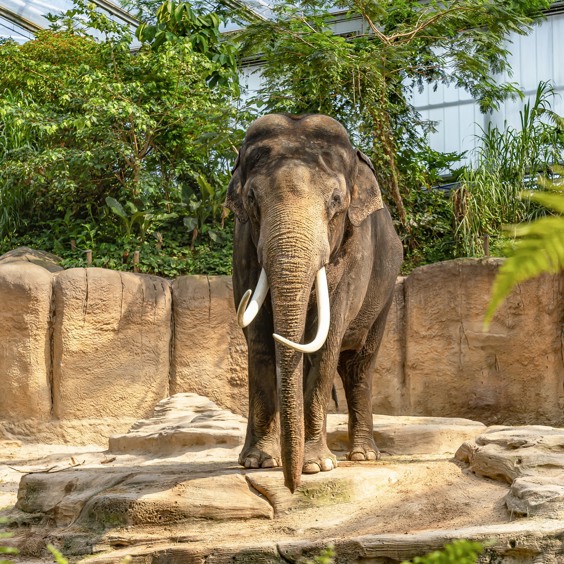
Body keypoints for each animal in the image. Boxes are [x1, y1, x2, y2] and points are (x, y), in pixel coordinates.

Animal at [223, 112, 404, 492]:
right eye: (251, 198)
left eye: (336, 201)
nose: (292, 487)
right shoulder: (241, 245)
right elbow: (259, 341)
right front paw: (257, 462)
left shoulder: (355, 252)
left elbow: (328, 338)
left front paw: (317, 466)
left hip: (386, 290)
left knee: (358, 366)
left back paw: (363, 456)